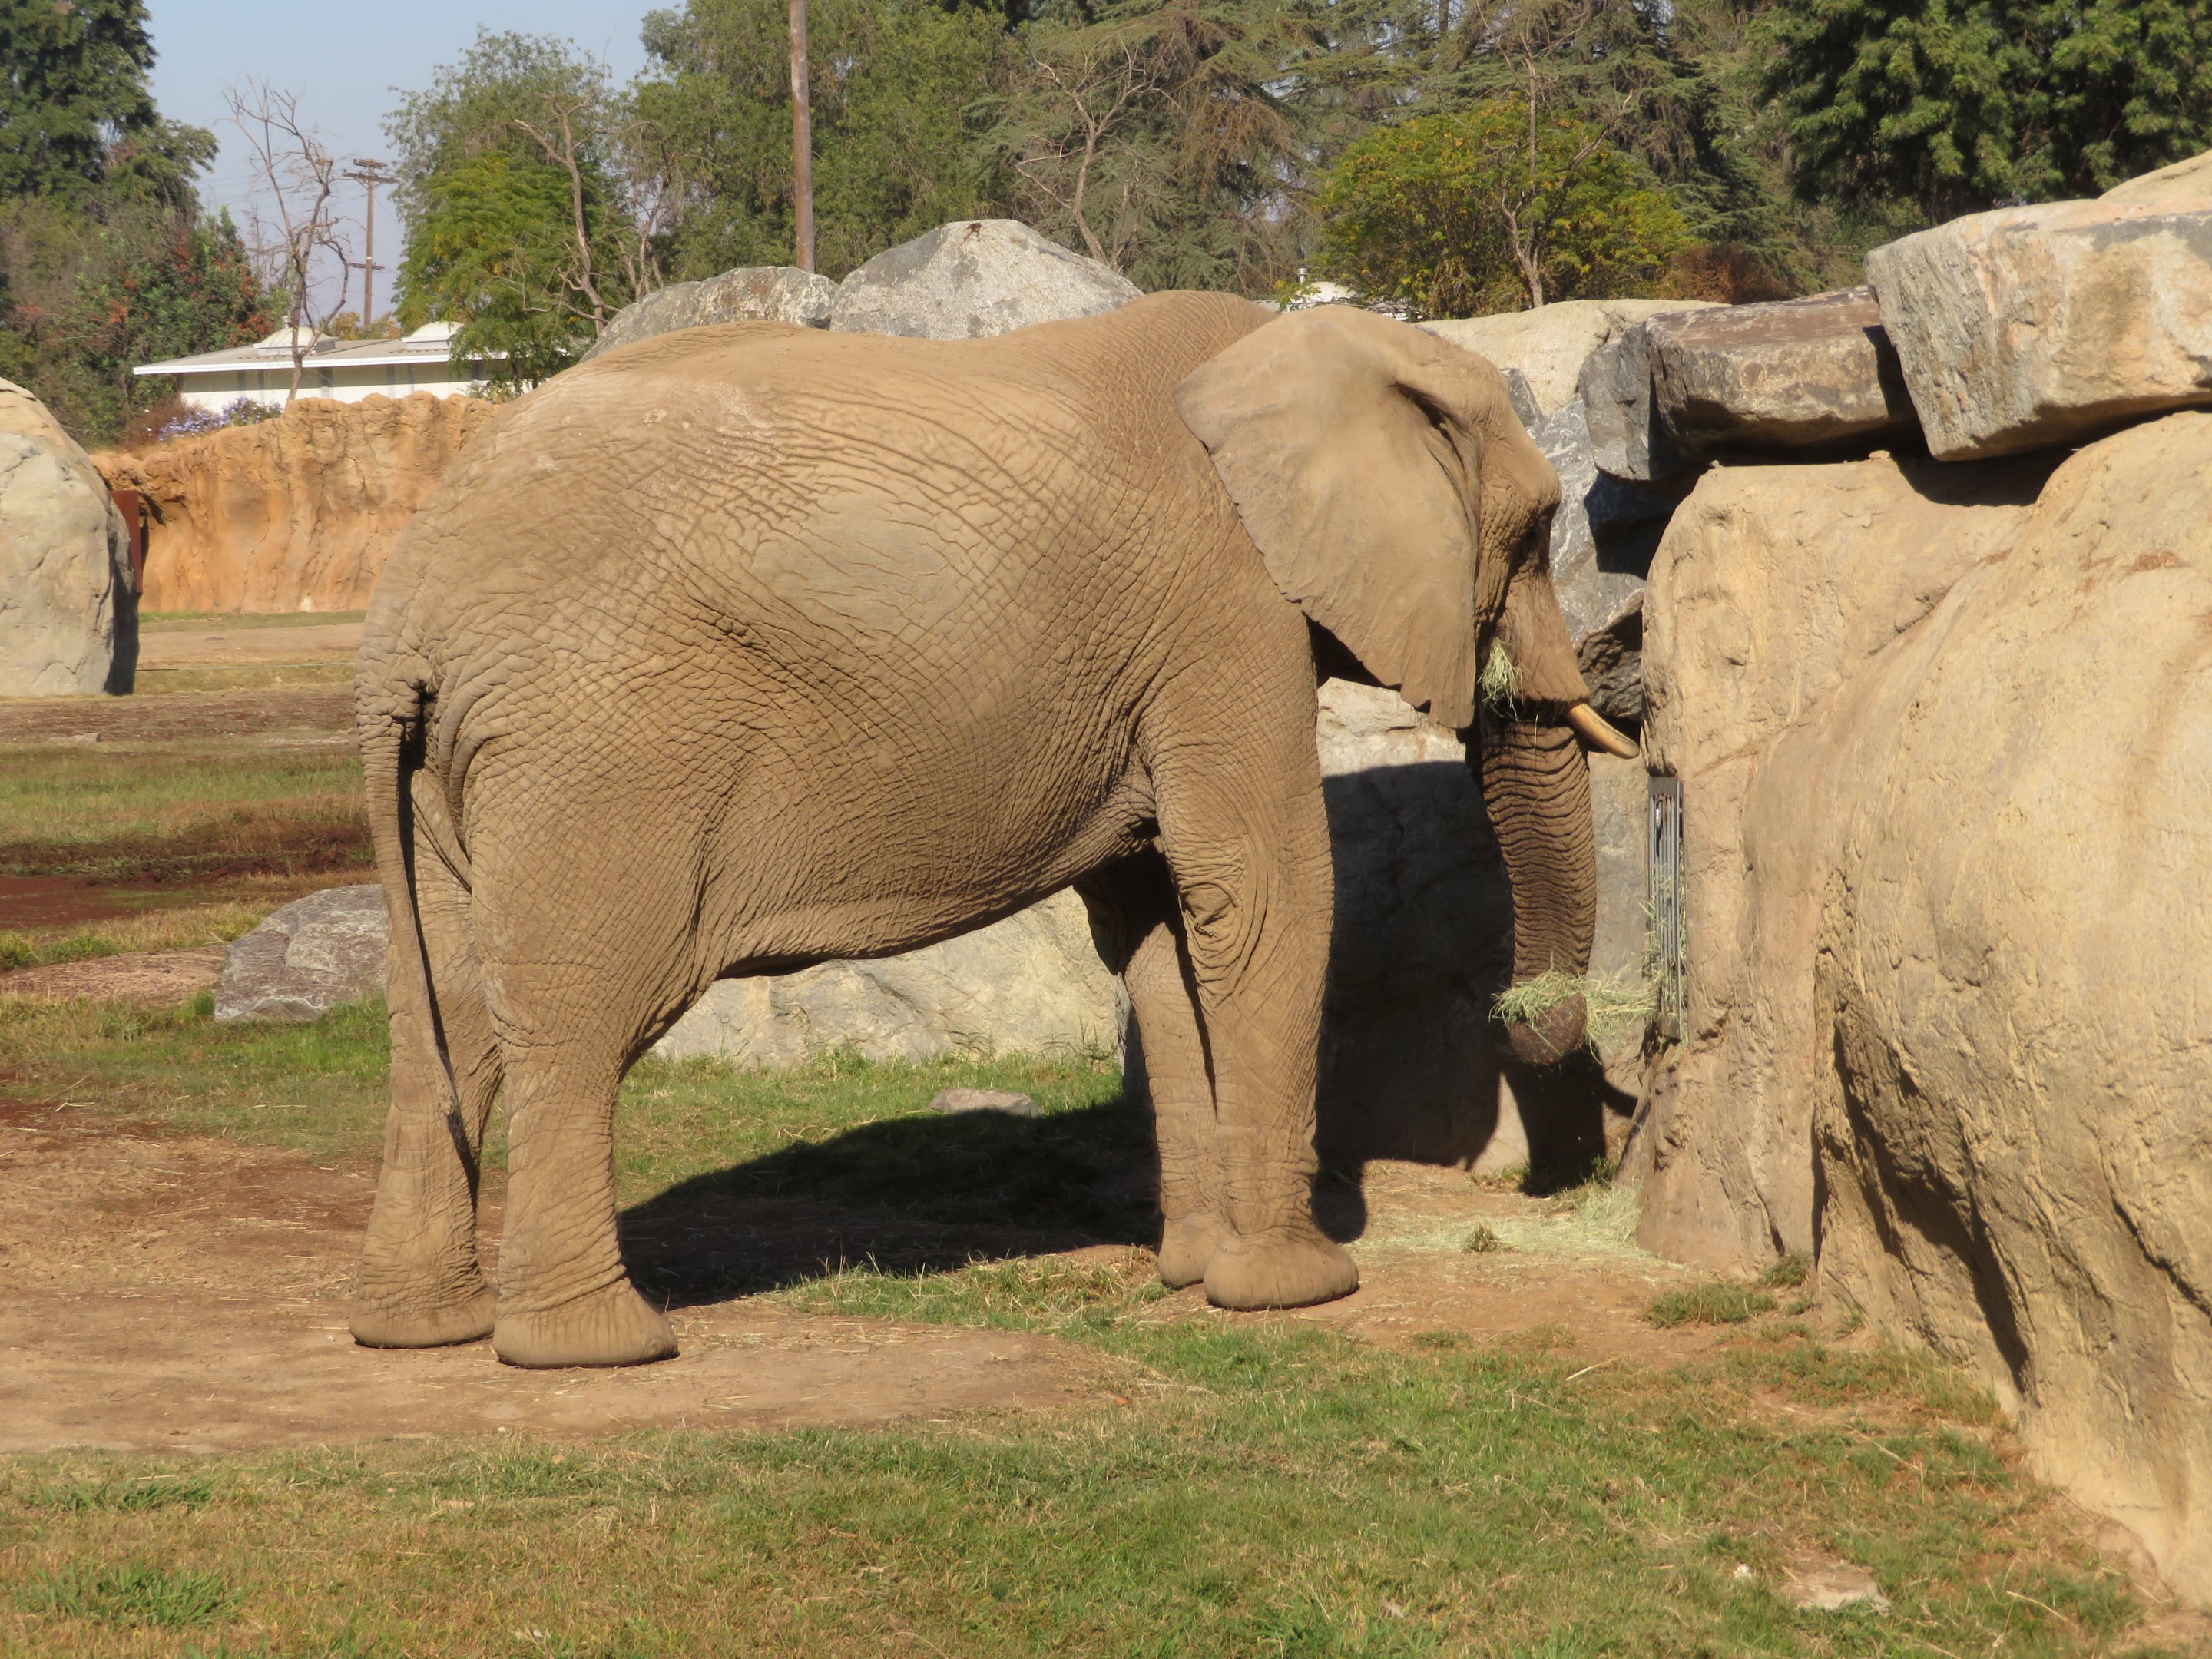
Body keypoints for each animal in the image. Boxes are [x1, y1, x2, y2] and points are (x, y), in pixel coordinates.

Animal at [348, 292, 1635, 1369]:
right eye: (1531, 533)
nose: (1523, 1020)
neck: (1300, 347)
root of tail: (408, 610)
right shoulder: (1226, 612)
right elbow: (1259, 892)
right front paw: (1298, 1287)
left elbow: (1155, 933)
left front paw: (1189, 1274)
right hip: (598, 751)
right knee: (576, 1016)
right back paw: (599, 1350)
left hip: (463, 771)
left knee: (447, 1015)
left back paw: (423, 1332)